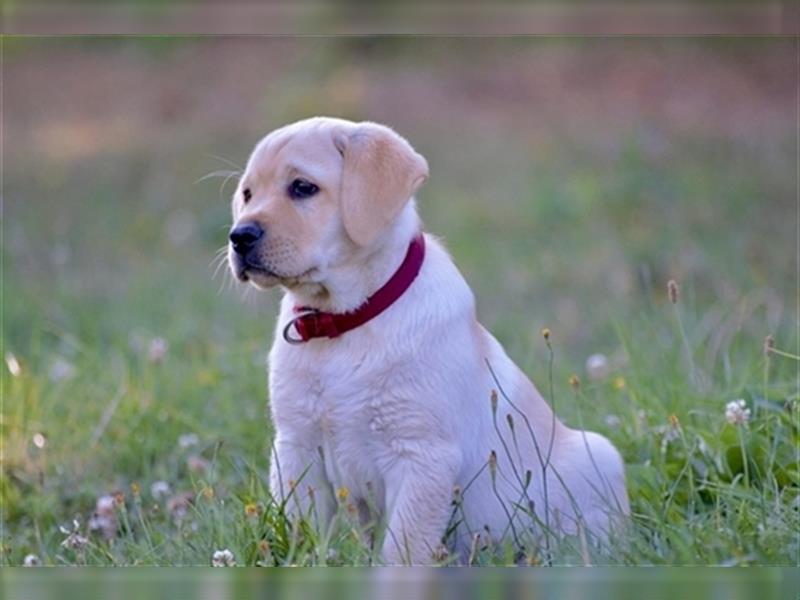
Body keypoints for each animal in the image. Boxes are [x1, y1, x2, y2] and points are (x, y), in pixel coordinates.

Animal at [228, 116, 628, 564]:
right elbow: (301, 528)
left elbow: (401, 549)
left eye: (302, 187)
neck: (344, 321)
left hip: (601, 457)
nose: (239, 236)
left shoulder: (422, 455)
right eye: (247, 194)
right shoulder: (297, 446)